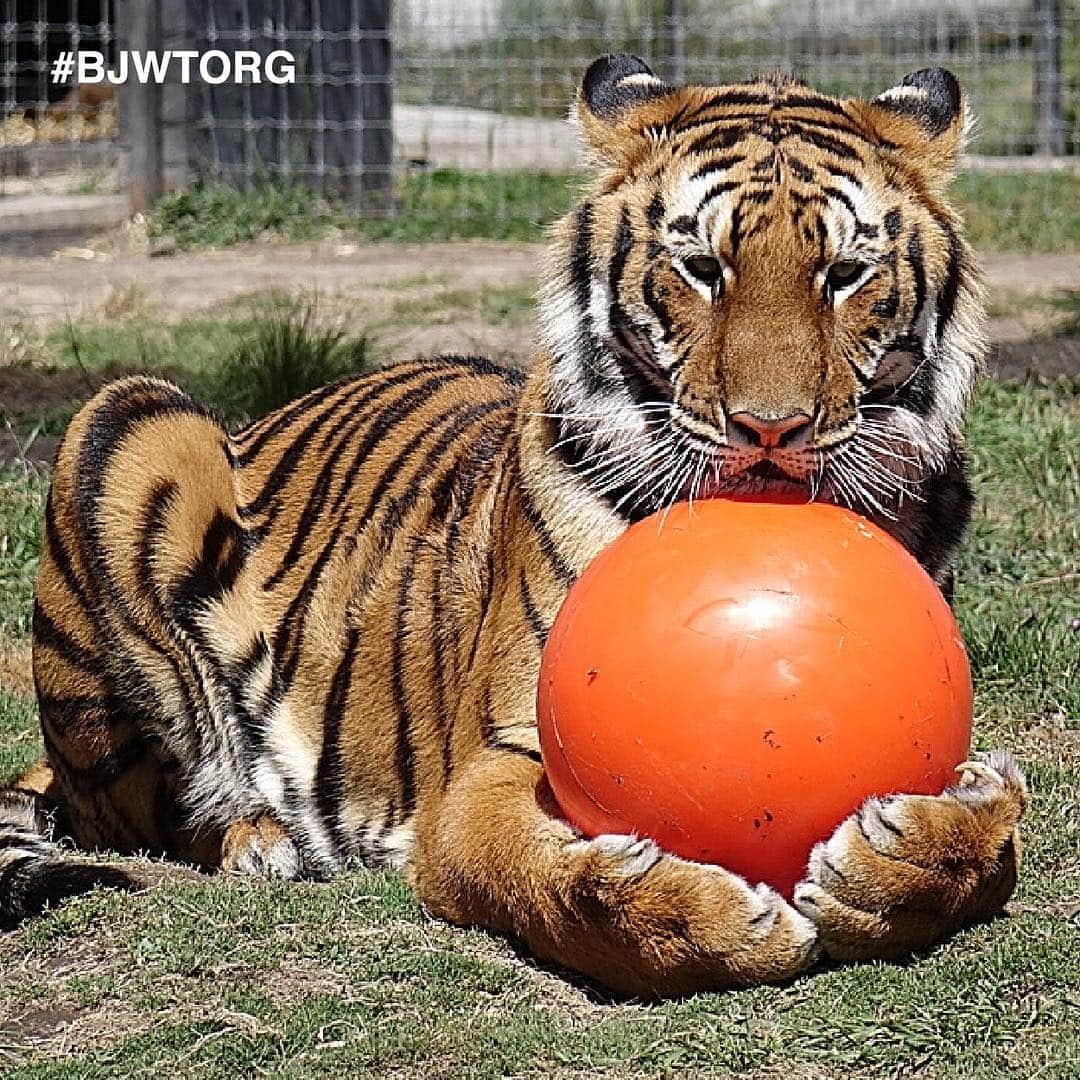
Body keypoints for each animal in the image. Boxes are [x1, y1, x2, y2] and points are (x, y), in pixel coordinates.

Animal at [2, 54, 1028, 989]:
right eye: (702, 269)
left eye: (845, 275)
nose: (771, 428)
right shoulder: (490, 770)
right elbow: (554, 883)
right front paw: (706, 922)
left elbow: (997, 836)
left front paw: (901, 859)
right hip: (126, 422)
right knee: (148, 806)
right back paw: (260, 838)